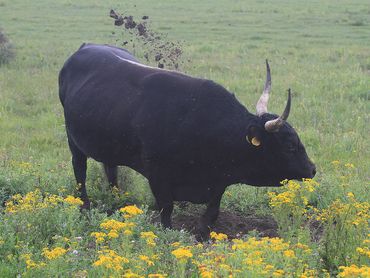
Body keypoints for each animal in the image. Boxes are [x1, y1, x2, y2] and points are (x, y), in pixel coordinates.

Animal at [57, 43, 316, 237]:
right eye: (290, 145)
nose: (312, 169)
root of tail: (87, 47)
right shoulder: (158, 175)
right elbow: (166, 210)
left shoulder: (219, 180)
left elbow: (212, 211)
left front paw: (202, 234)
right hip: (73, 141)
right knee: (80, 171)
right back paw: (85, 207)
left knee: (111, 169)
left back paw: (118, 200)